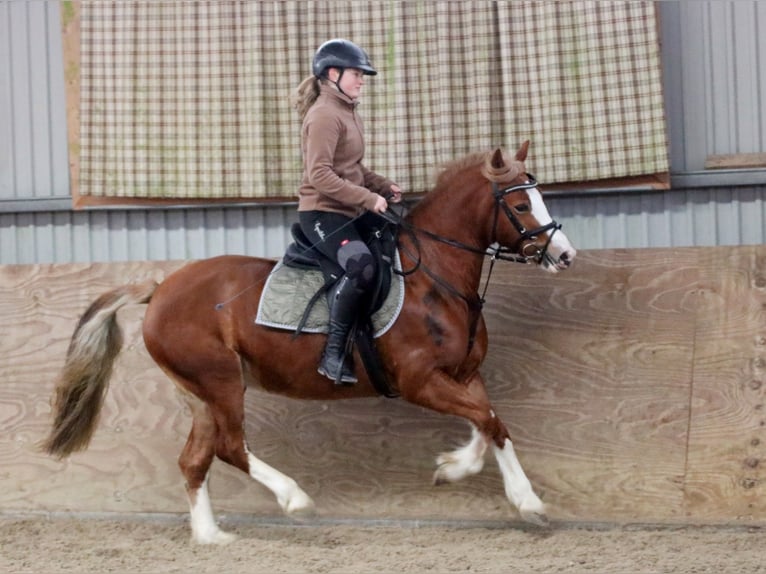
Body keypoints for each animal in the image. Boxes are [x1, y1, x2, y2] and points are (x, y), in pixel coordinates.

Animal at [43, 142, 576, 548]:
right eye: (522, 205)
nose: (566, 254)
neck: (435, 277)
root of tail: (159, 289)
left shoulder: (466, 374)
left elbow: (491, 424)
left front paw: (490, 484)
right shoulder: (419, 381)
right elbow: (487, 420)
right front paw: (474, 476)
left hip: (200, 394)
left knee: (194, 460)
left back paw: (211, 536)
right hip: (220, 382)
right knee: (231, 447)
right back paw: (294, 499)